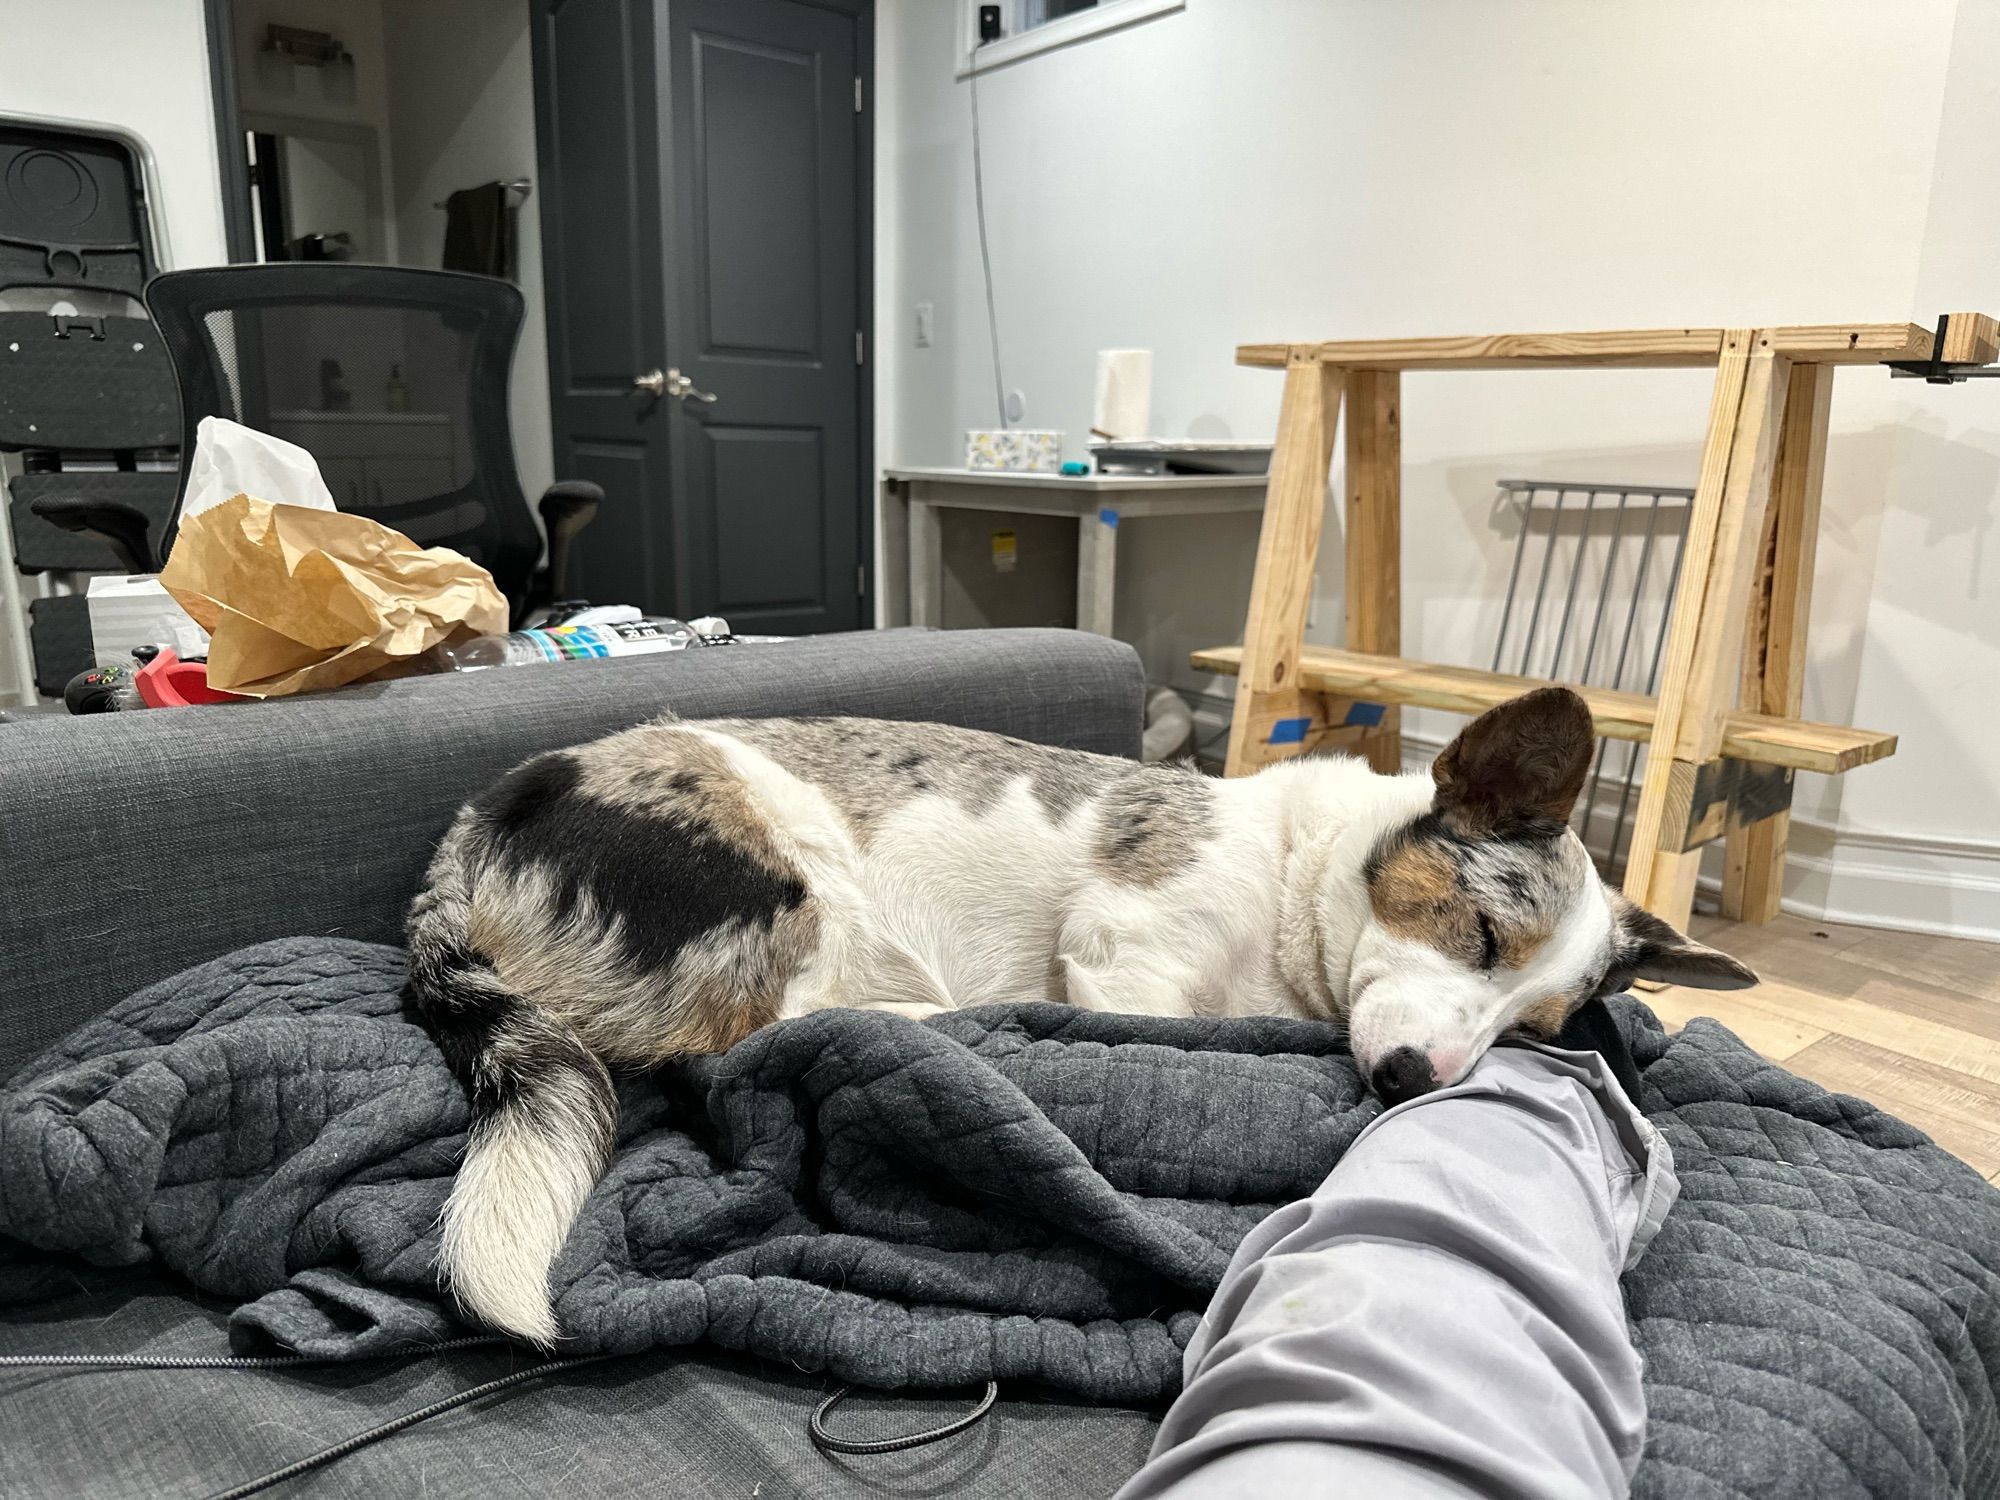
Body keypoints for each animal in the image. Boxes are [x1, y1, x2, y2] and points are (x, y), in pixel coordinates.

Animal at [402, 688, 1752, 1344]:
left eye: (1536, 1027)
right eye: (1475, 935)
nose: (1419, 1080)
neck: (1295, 898)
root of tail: (468, 842)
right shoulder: (1125, 951)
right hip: (799, 895)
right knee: (757, 1035)